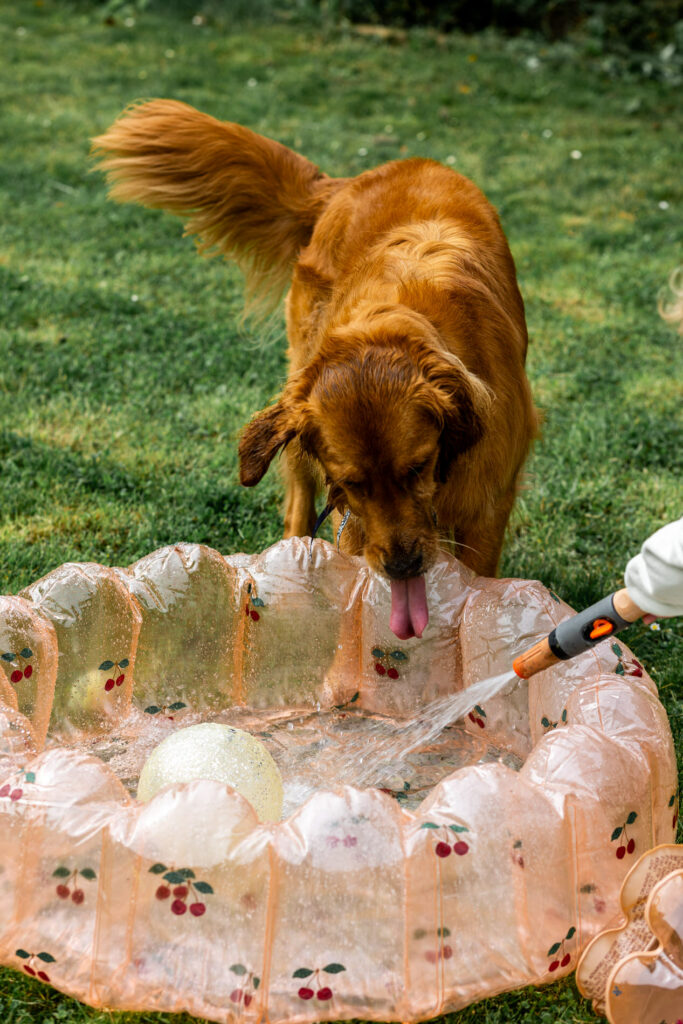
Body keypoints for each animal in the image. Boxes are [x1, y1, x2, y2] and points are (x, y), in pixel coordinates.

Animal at [93, 97, 540, 638]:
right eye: (353, 484)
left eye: (417, 468)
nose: (402, 567)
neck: (394, 323)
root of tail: (350, 181)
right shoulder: (354, 519)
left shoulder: (486, 504)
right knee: (298, 501)